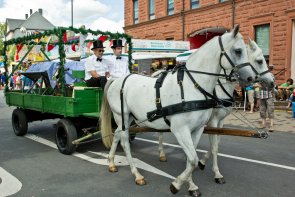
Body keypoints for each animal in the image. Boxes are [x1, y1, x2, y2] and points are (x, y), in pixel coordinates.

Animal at [100, 25, 256, 196]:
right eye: (238, 51)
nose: (251, 78)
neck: (193, 85)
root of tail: (117, 80)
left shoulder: (197, 129)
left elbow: (191, 159)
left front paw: (191, 186)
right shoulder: (180, 129)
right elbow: (193, 159)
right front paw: (176, 184)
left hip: (128, 118)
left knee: (116, 135)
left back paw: (111, 162)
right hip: (121, 115)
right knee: (124, 142)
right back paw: (137, 174)